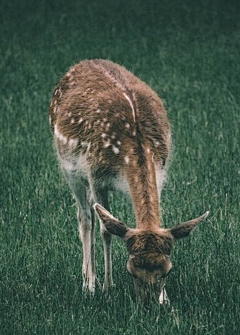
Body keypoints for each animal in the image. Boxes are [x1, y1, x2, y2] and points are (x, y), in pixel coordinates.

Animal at [48, 59, 208, 306]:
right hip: (69, 168)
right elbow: (105, 230)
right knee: (85, 218)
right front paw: (107, 288)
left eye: (168, 270)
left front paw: (165, 298)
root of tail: (82, 63)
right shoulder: (96, 177)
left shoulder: (160, 174)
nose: (150, 304)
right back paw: (89, 283)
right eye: (130, 271)